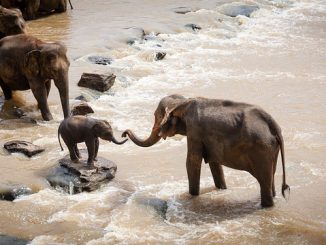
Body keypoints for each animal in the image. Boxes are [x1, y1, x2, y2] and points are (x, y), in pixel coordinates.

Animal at [123, 94, 290, 208]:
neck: (183, 102)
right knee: (270, 178)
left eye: (156, 116)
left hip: (261, 149)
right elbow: (215, 164)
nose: (124, 133)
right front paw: (222, 189)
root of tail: (274, 126)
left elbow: (192, 162)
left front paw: (191, 197)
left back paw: (266, 206)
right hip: (271, 149)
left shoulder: (194, 132)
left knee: (264, 181)